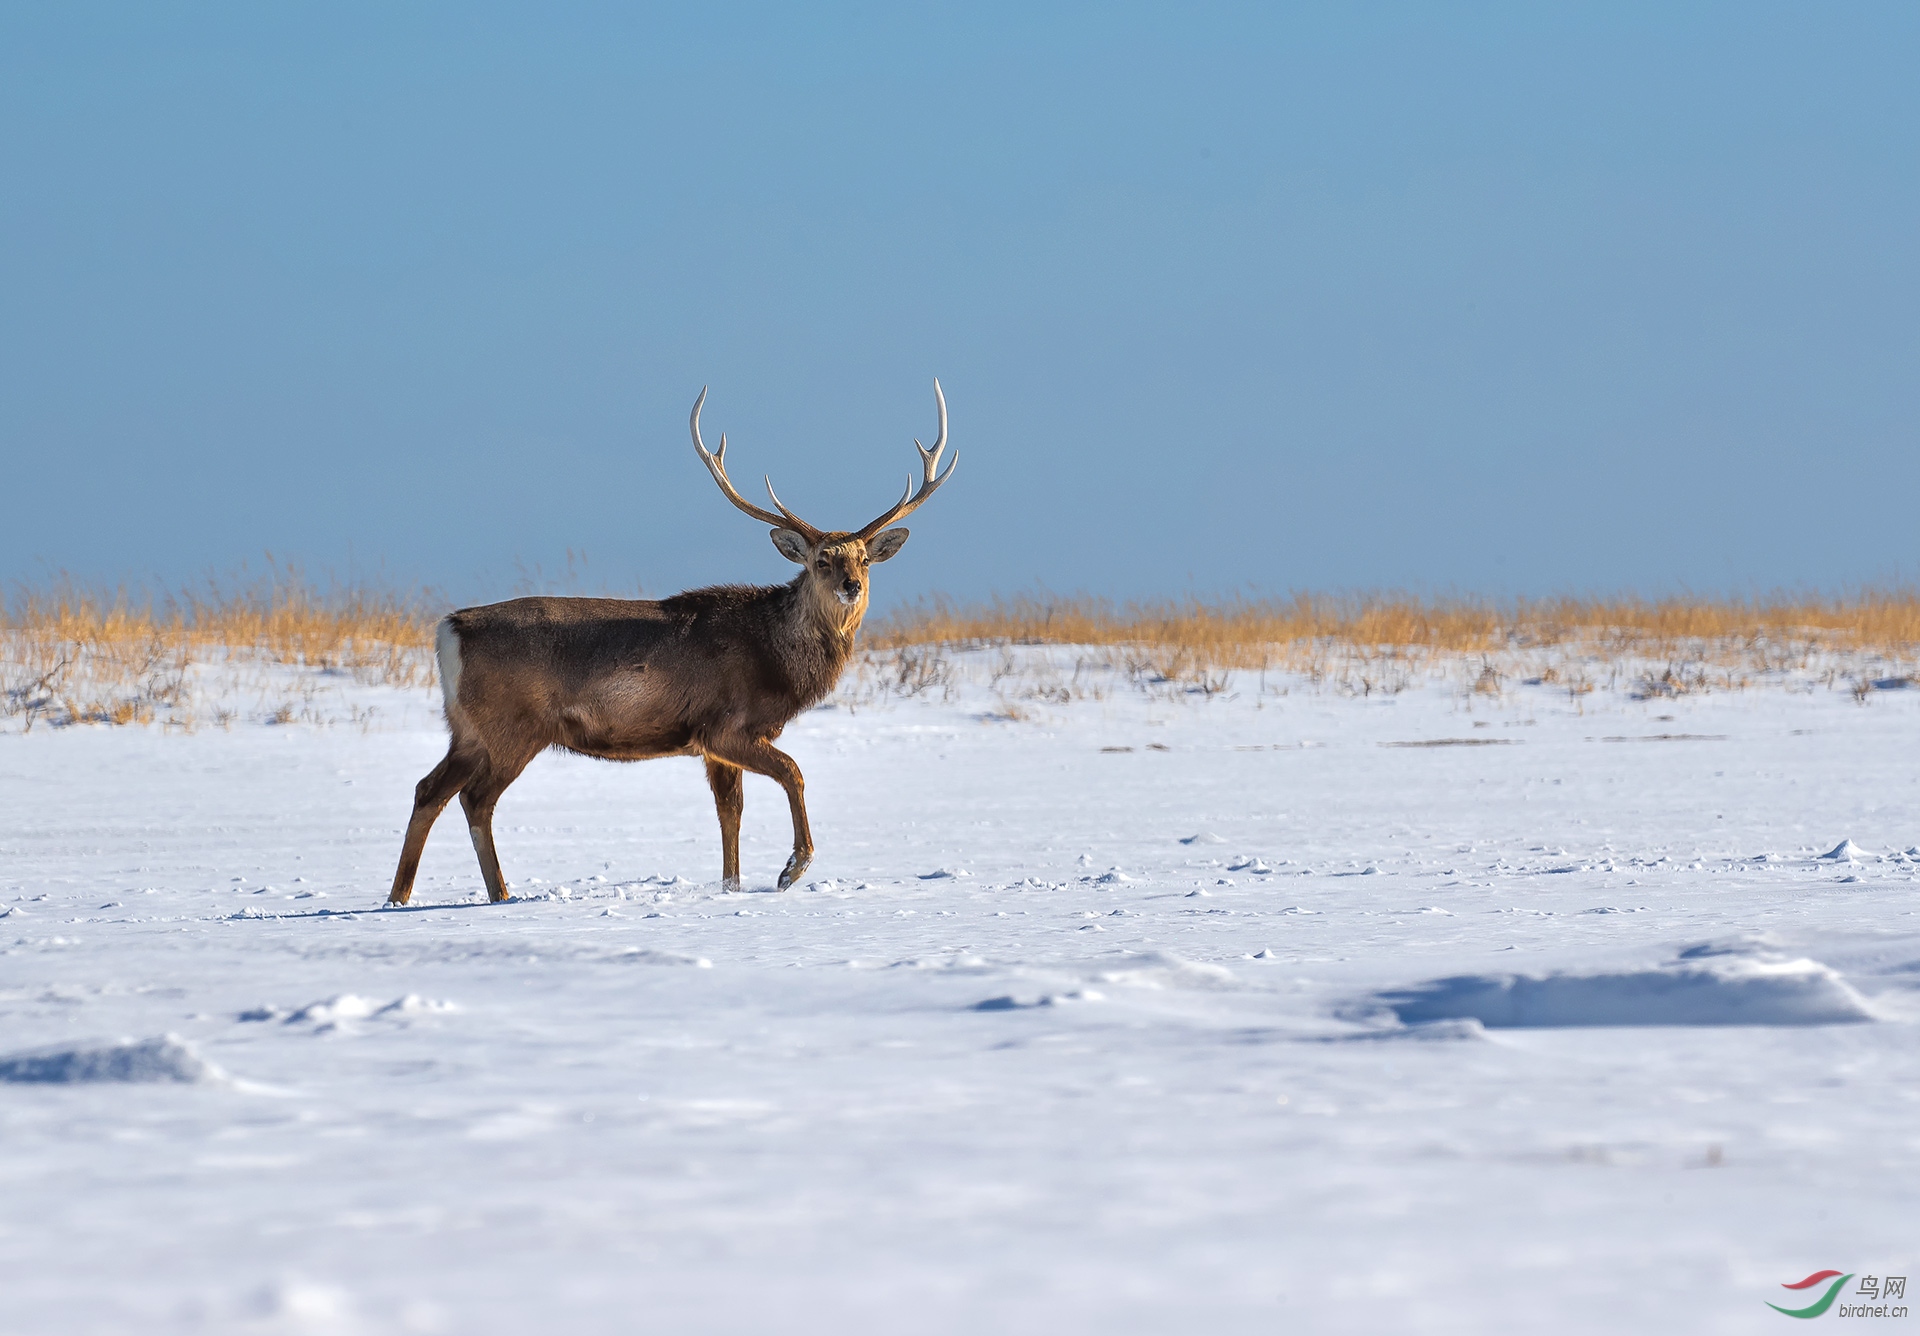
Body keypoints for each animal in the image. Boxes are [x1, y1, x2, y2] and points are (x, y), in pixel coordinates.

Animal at [385, 378, 956, 909]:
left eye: (863, 559)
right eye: (821, 560)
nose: (851, 585)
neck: (774, 657)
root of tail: (449, 629)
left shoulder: (714, 745)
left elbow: (731, 813)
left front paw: (731, 886)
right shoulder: (724, 725)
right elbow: (792, 773)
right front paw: (791, 870)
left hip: (468, 729)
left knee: (429, 790)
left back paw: (402, 896)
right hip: (513, 724)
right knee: (475, 799)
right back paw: (496, 895)